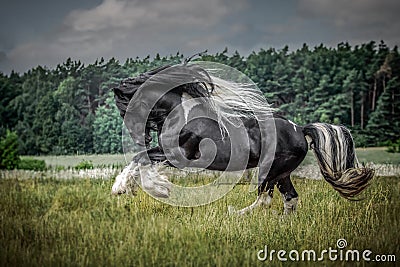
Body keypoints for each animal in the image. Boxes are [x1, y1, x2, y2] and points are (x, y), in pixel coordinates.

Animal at [110, 61, 376, 215]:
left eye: (126, 108)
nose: (140, 135)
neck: (182, 114)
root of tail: (300, 130)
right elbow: (139, 159)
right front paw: (123, 188)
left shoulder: (179, 154)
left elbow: (142, 159)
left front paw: (153, 188)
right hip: (282, 173)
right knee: (290, 198)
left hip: (270, 171)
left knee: (265, 199)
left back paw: (235, 214)